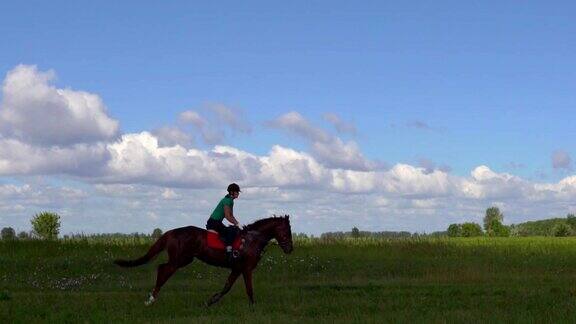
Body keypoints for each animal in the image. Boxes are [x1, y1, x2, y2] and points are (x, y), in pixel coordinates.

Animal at [113, 215, 292, 306]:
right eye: (286, 231)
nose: (290, 249)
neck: (251, 240)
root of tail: (171, 232)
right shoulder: (246, 268)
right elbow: (249, 289)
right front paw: (253, 307)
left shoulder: (237, 268)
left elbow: (226, 287)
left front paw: (211, 301)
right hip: (180, 260)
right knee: (163, 269)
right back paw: (151, 299)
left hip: (184, 260)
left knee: (162, 268)